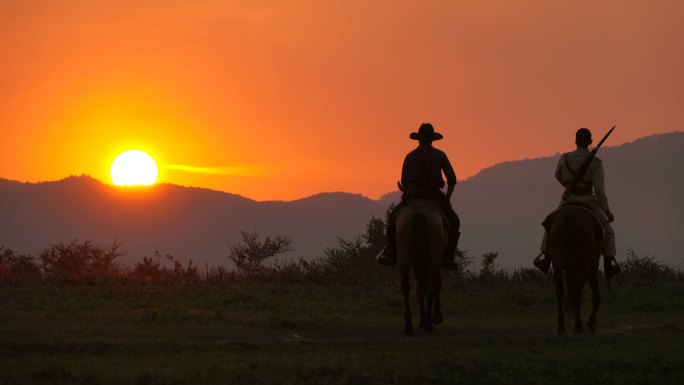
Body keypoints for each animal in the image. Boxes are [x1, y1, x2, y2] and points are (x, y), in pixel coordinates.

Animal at [392, 198, 446, 332]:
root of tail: (419, 212)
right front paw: (428, 318)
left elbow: (419, 287)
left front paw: (423, 319)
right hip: (434, 258)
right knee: (433, 283)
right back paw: (430, 321)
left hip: (404, 256)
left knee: (407, 286)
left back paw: (409, 325)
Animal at [548, 204, 600, 332]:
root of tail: (570, 216)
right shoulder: (592, 264)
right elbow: (595, 294)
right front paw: (591, 323)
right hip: (583, 262)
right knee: (579, 289)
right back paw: (578, 325)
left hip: (557, 260)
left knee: (560, 290)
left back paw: (561, 325)